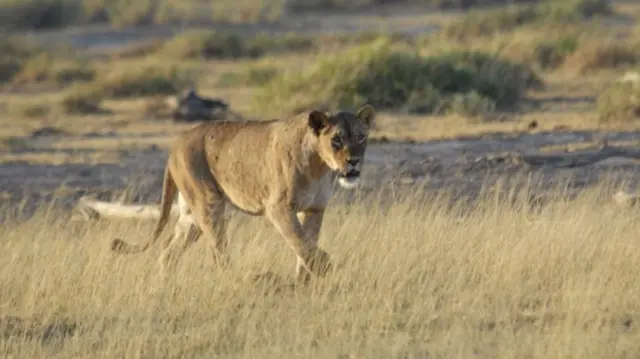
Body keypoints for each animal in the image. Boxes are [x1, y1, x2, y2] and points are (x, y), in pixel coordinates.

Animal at [111, 104, 376, 284]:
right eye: (336, 140)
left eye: (361, 137)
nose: (354, 162)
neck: (320, 167)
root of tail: (175, 145)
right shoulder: (278, 208)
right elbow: (300, 241)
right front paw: (323, 267)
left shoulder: (315, 209)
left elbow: (306, 243)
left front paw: (304, 281)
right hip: (209, 203)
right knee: (219, 254)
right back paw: (242, 283)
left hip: (190, 215)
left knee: (169, 251)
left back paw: (166, 283)